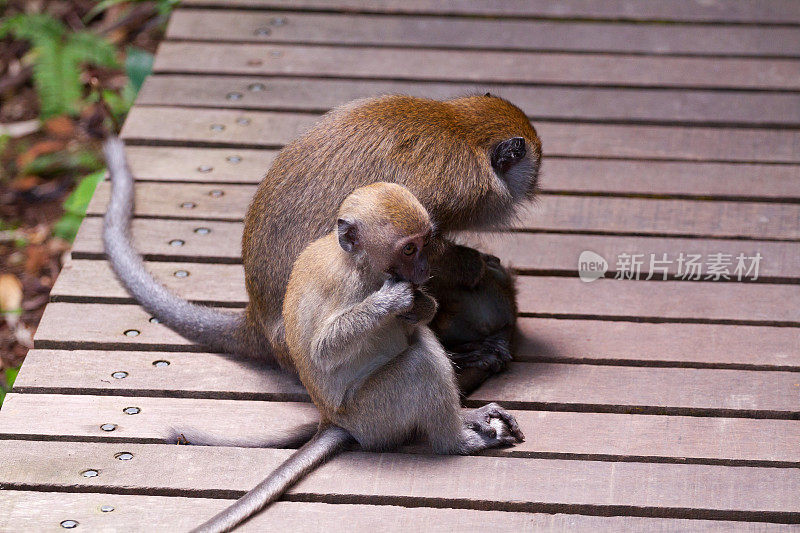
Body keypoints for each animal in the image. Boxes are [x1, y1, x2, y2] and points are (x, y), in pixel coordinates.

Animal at [103, 94, 540, 394]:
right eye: (533, 170)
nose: (535, 188)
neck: (462, 130)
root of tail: (258, 323)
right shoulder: (451, 188)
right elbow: (416, 250)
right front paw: (472, 265)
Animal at [194, 183, 524, 532]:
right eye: (409, 250)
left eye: (425, 243)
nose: (424, 270)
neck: (359, 265)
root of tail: (331, 419)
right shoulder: (348, 288)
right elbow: (324, 350)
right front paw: (393, 300)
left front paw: (422, 305)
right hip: (372, 416)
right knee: (419, 361)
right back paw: (457, 442)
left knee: (420, 340)